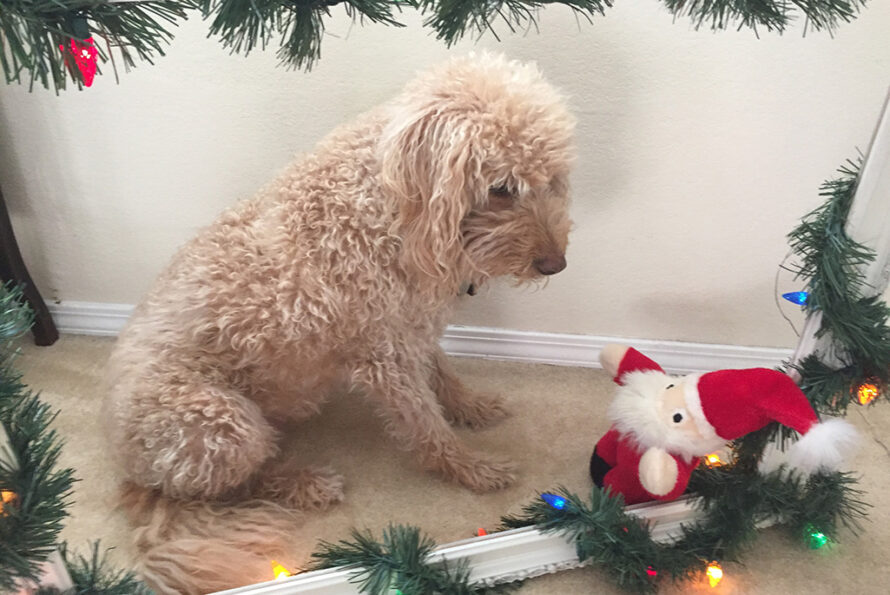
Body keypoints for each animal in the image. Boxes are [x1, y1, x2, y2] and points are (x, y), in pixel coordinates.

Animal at [106, 53, 576, 592]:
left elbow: (443, 373)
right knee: (236, 485)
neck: (390, 209)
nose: (555, 264)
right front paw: (471, 469)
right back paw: (305, 483)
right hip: (223, 424)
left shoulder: (409, 328)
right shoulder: (386, 356)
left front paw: (472, 407)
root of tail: (131, 468)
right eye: (501, 188)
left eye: (550, 177)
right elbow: (427, 424)